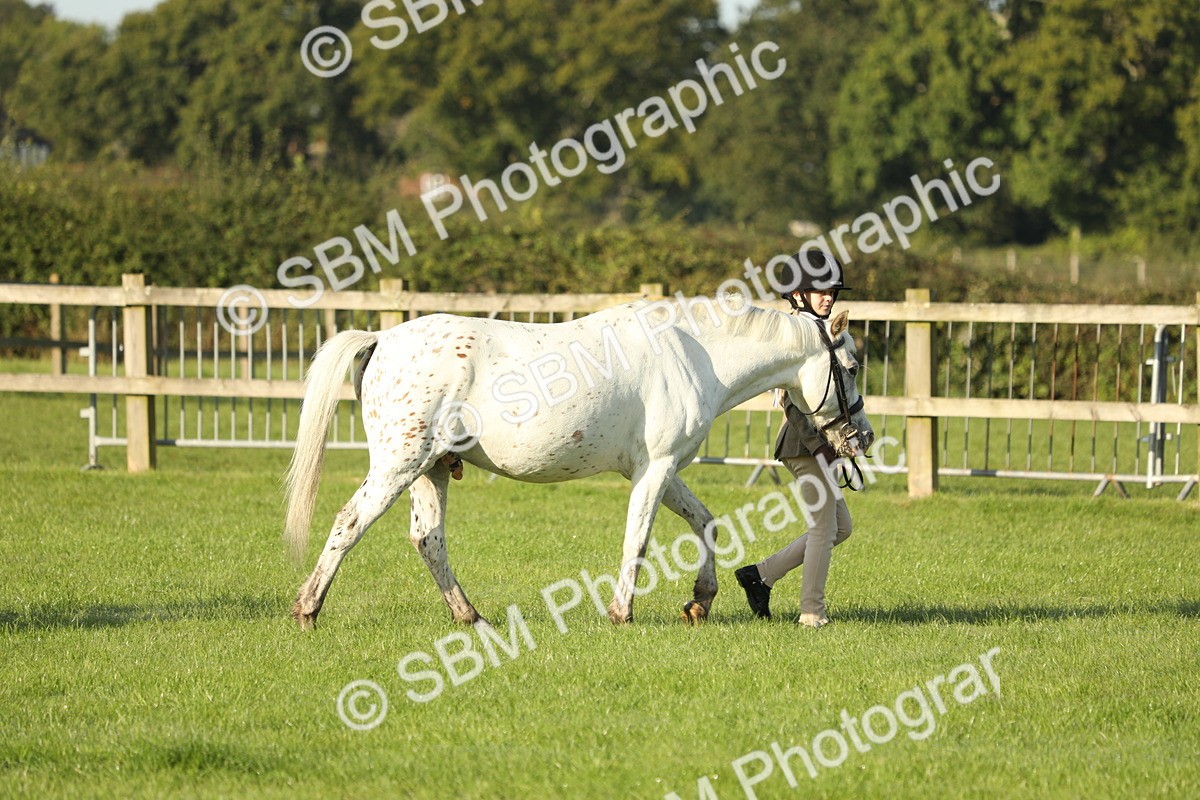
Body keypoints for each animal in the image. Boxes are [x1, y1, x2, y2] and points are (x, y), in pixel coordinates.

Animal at [284, 295, 874, 630]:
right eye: (849, 366)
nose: (861, 437)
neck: (693, 353)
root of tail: (382, 338)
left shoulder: (661, 470)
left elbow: (706, 523)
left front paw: (701, 602)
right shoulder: (655, 469)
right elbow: (638, 540)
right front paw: (622, 613)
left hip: (430, 471)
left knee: (428, 539)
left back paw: (470, 616)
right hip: (399, 465)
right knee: (350, 522)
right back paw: (307, 610)